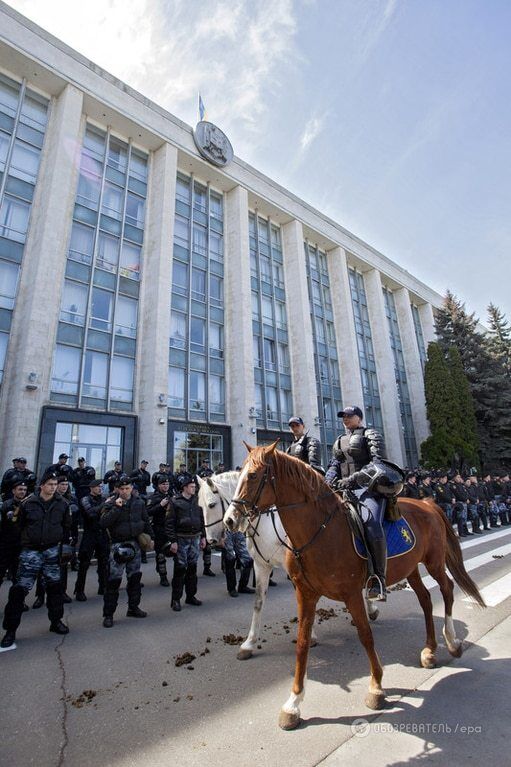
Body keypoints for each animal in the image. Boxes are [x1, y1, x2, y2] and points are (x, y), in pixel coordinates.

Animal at [225, 440, 488, 728]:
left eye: (252, 475)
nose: (230, 519)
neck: (321, 530)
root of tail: (428, 504)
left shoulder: (350, 593)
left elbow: (365, 635)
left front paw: (376, 688)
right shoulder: (304, 592)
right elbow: (302, 641)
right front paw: (293, 703)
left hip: (434, 562)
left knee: (447, 590)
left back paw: (451, 642)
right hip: (411, 569)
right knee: (426, 600)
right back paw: (429, 651)